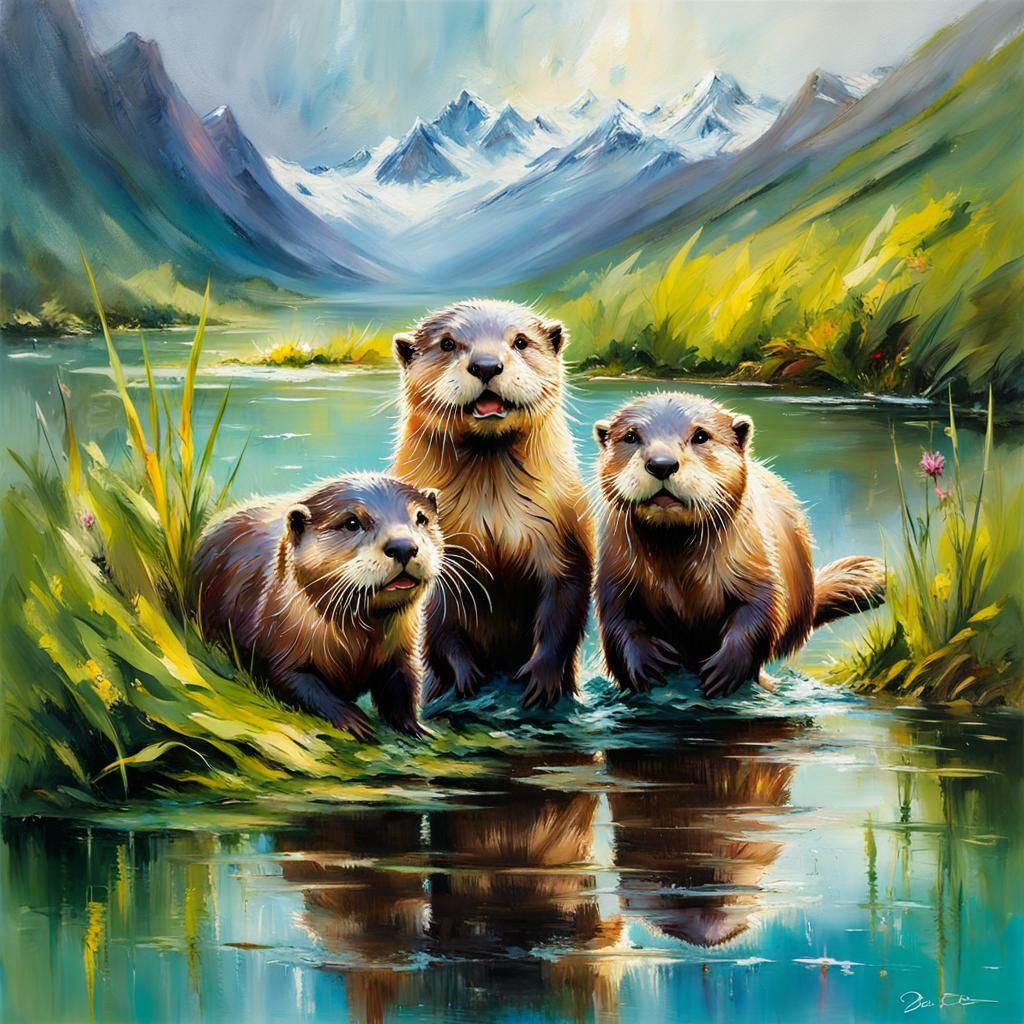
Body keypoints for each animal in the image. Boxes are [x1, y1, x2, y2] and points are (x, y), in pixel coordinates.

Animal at [194, 473, 443, 739]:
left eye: (421, 518)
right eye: (352, 522)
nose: (403, 546)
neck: (356, 645)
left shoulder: (404, 650)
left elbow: (404, 686)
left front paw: (418, 728)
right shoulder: (277, 644)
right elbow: (296, 682)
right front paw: (351, 719)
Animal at [392, 299, 594, 709]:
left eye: (520, 341)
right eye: (448, 343)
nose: (486, 365)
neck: (491, 519)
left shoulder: (564, 533)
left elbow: (565, 604)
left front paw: (542, 679)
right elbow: (437, 619)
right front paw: (464, 677)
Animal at [593, 392, 886, 697]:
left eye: (700, 435)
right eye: (631, 436)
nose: (662, 463)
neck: (681, 575)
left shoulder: (758, 563)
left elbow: (759, 612)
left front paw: (726, 669)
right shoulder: (615, 574)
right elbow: (618, 621)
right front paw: (645, 665)